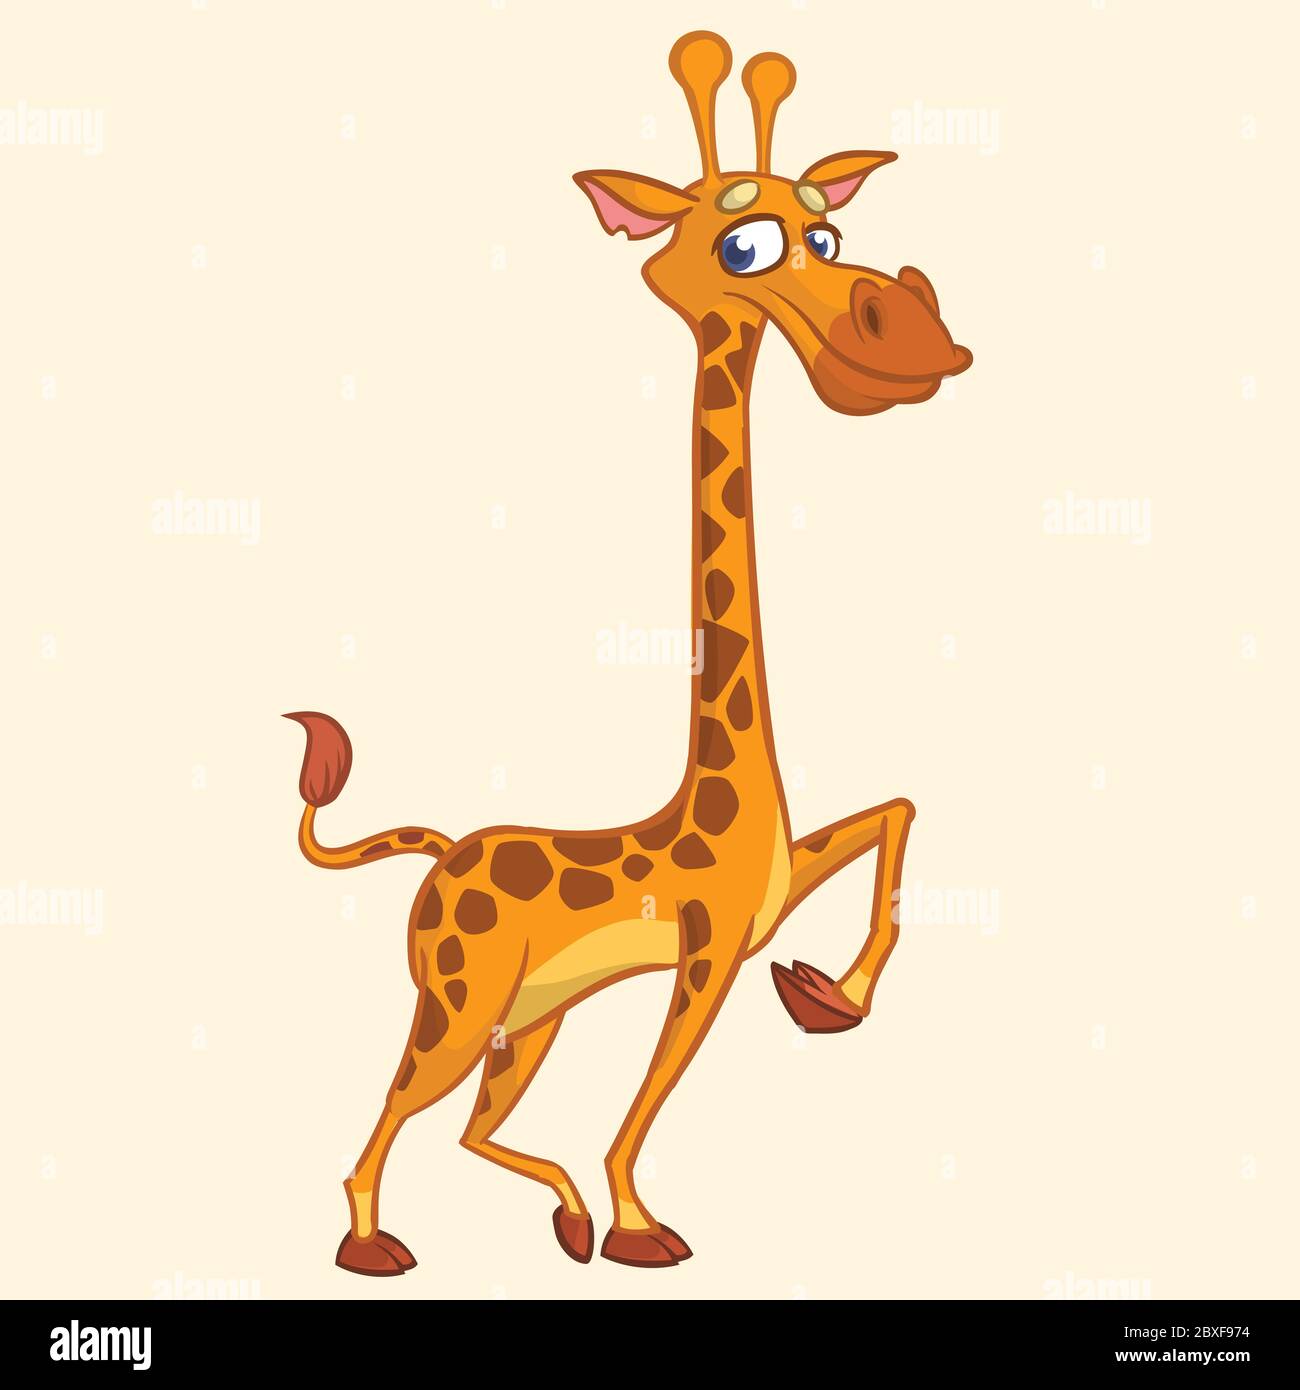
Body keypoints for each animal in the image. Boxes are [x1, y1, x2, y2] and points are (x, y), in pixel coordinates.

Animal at [286, 31, 971, 1275]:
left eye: (828, 232)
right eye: (743, 242)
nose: (910, 342)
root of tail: (444, 851)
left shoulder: (771, 896)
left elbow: (892, 813)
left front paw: (828, 997)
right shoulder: (703, 954)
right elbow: (649, 1096)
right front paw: (642, 1226)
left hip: (529, 1015)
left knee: (467, 1124)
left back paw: (557, 1218)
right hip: (460, 999)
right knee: (393, 1109)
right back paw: (373, 1243)